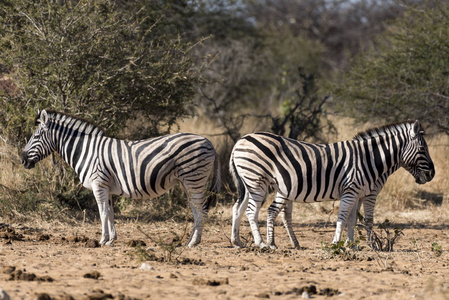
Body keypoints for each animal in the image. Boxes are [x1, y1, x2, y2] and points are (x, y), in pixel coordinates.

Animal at [21, 109, 220, 246]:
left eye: (36, 136)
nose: (23, 160)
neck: (86, 151)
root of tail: (208, 142)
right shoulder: (107, 187)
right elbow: (109, 212)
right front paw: (111, 239)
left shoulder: (99, 184)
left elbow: (102, 212)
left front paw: (102, 240)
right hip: (191, 181)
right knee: (197, 209)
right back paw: (191, 240)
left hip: (194, 178)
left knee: (201, 209)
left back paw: (193, 242)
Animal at [229, 119, 432, 248]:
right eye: (422, 148)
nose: (432, 174)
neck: (370, 159)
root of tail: (240, 140)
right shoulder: (358, 192)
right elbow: (351, 218)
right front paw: (349, 244)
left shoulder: (358, 193)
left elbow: (352, 219)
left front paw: (352, 245)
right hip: (257, 181)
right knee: (251, 211)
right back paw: (262, 243)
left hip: (250, 182)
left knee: (238, 208)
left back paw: (237, 242)